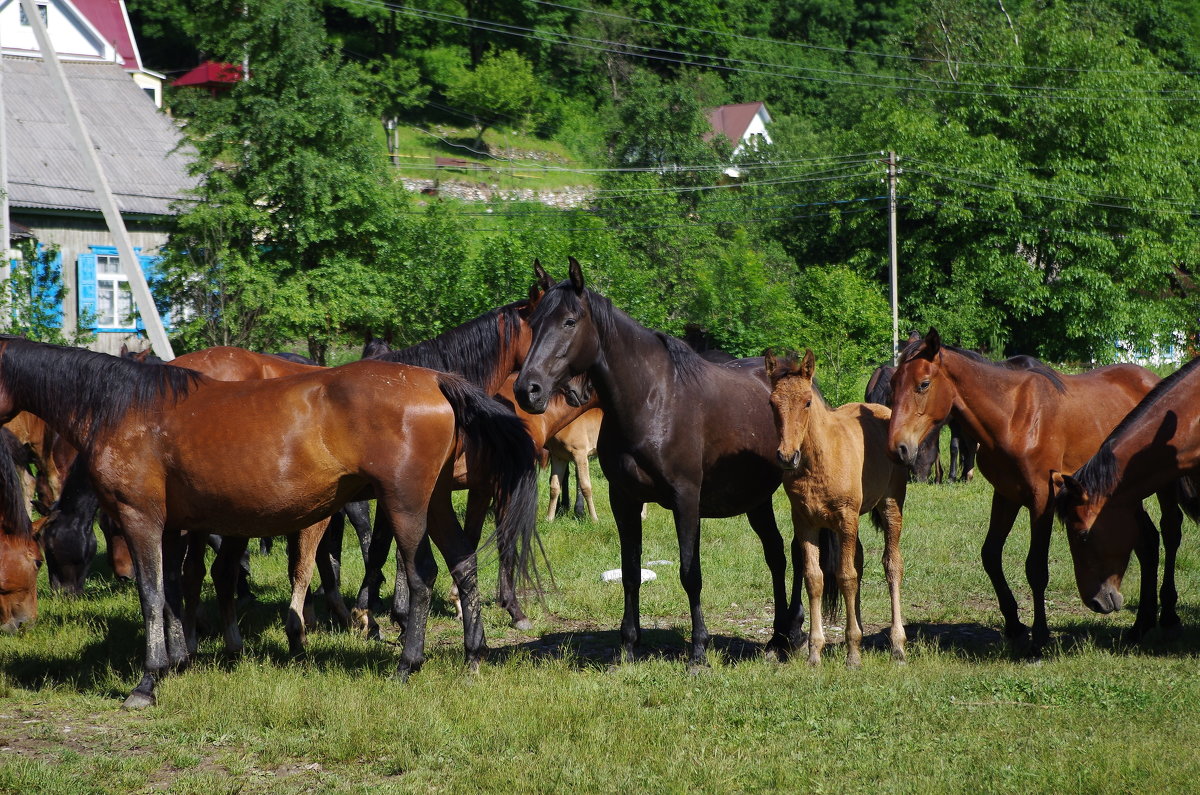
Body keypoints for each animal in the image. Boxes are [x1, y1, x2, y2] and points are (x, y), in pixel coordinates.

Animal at [0, 336, 535, 710]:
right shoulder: (174, 526)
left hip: (406, 504)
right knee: (463, 564)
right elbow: (174, 591)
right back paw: (472, 656)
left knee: (422, 574)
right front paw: (180, 660)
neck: (124, 406)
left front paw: (148, 681)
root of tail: (433, 380)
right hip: (437, 501)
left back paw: (407, 663)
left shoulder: (141, 518)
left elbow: (152, 595)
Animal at [768, 353, 907, 667]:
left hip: (890, 504)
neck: (819, 460)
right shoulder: (805, 522)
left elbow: (845, 576)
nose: (786, 457)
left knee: (892, 564)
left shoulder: (845, 518)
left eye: (807, 401)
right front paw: (815, 652)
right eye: (772, 402)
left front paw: (853, 654)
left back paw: (898, 645)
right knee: (859, 562)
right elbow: (815, 578)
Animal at [892, 326, 1180, 658]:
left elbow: (1036, 568)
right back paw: (1141, 624)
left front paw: (1039, 638)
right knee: (1147, 542)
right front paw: (1014, 626)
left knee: (1170, 534)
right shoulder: (1006, 495)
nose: (898, 447)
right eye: (893, 383)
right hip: (1123, 496)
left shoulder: (1042, 499)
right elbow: (990, 555)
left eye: (923, 384)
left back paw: (1168, 618)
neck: (1013, 416)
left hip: (1161, 486)